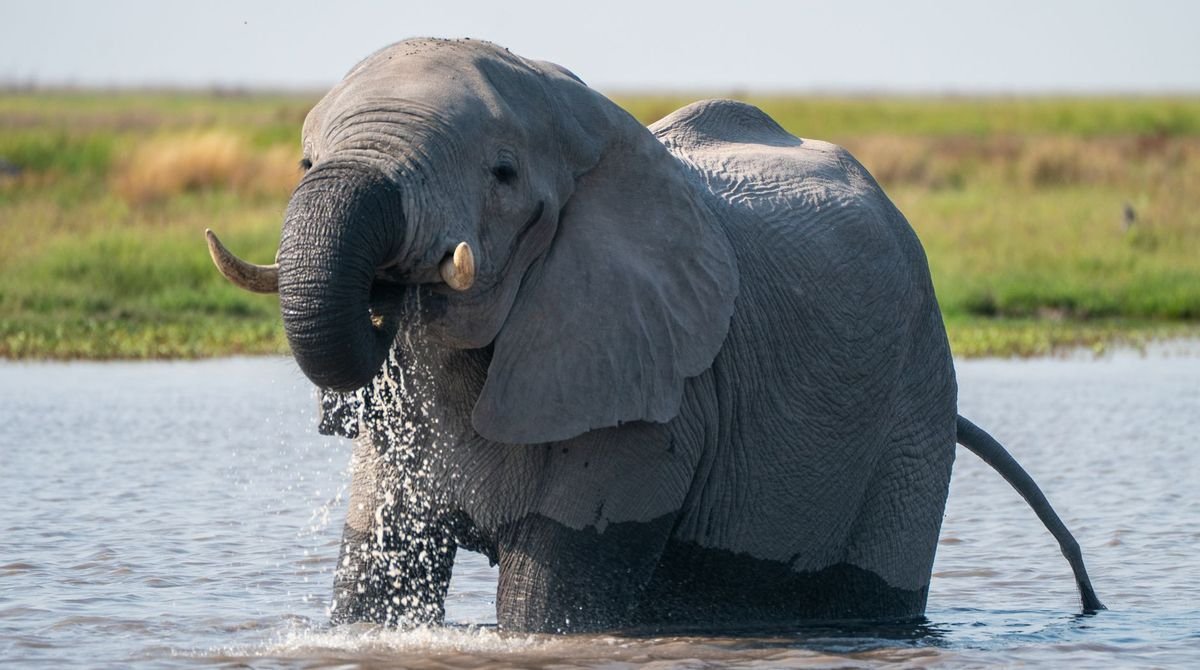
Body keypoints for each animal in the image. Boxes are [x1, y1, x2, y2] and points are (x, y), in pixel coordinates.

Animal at [206, 38, 1103, 633]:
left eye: (502, 175)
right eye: (304, 162)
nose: (390, 290)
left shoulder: (656, 404)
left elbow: (545, 609)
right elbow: (375, 582)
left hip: (911, 421)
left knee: (868, 588)